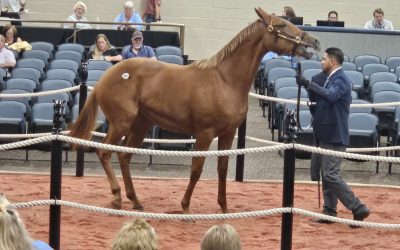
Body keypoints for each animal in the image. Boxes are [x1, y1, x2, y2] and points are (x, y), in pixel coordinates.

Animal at [68, 7, 318, 213]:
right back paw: (118, 197)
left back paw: (135, 200)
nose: (313, 41)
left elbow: (222, 168)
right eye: (281, 25)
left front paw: (224, 207)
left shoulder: (228, 134)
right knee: (105, 152)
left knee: (124, 155)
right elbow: (197, 169)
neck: (225, 80)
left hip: (141, 124)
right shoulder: (205, 133)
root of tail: (104, 79)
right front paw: (185, 205)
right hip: (121, 123)